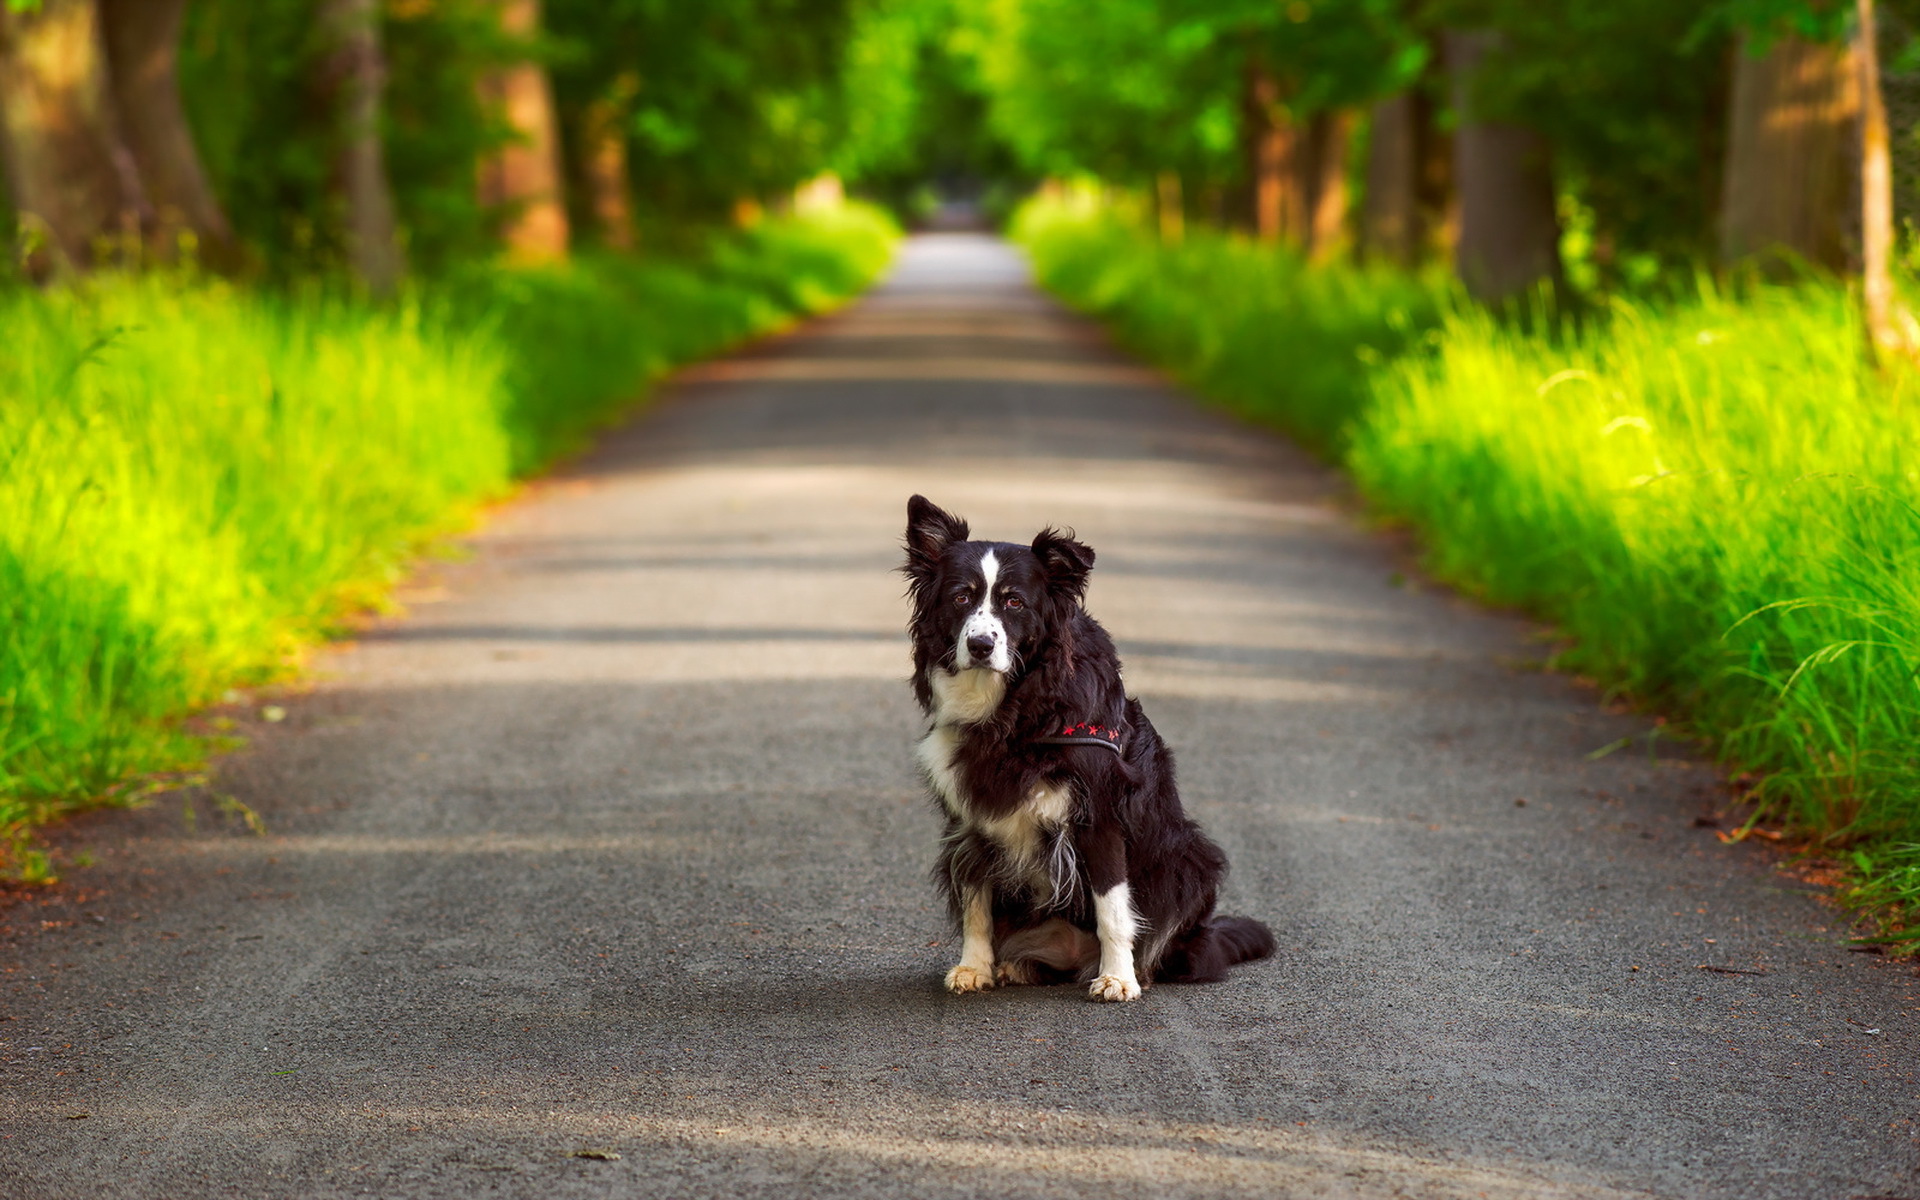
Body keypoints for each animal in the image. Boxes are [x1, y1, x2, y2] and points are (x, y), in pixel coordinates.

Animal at [902, 491, 1274, 998]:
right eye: (961, 597)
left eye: (1014, 602)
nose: (979, 645)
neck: (1016, 708)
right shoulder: (970, 814)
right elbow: (976, 898)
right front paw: (974, 968)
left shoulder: (1101, 812)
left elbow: (1112, 908)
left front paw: (1118, 979)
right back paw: (1019, 966)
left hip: (1189, 858)